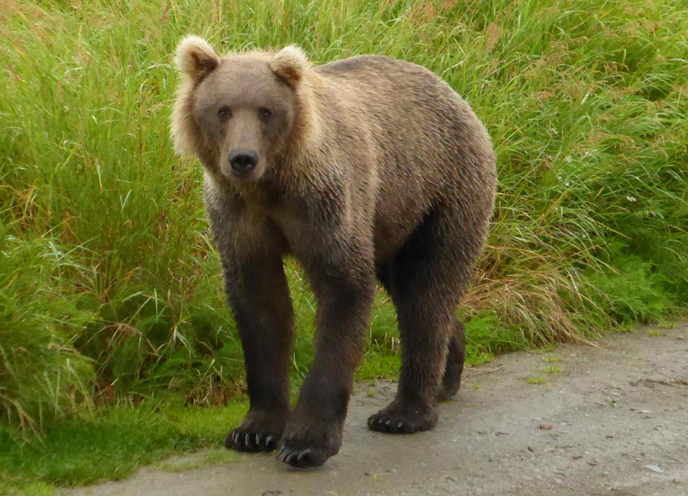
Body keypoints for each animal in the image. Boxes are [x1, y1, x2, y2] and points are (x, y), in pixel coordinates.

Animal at [171, 35, 494, 468]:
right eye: (222, 109)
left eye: (266, 111)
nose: (242, 158)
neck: (272, 185)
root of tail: (457, 96)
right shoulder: (239, 216)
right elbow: (260, 307)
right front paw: (253, 430)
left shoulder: (325, 202)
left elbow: (343, 291)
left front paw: (306, 443)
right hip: (393, 221)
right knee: (417, 294)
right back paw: (446, 376)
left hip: (439, 192)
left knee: (426, 290)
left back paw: (403, 413)